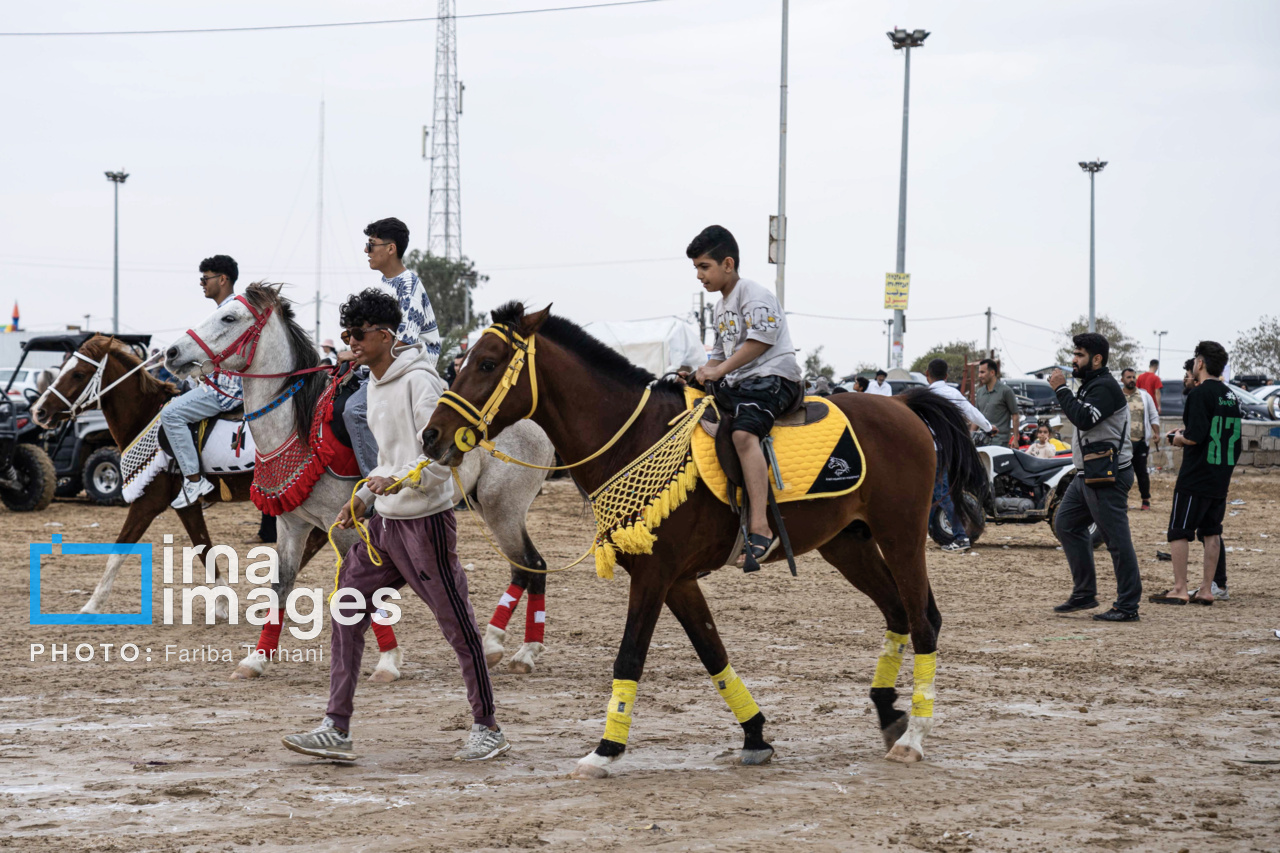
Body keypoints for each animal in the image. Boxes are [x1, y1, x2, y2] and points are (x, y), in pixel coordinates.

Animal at [424, 303, 983, 778]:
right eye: (463, 362)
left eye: (487, 363)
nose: (432, 435)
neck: (639, 437)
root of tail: (903, 406)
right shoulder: (677, 581)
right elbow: (713, 653)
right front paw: (755, 735)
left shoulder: (654, 575)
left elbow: (629, 656)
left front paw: (606, 749)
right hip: (849, 544)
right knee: (897, 613)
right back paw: (889, 711)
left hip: (901, 536)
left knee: (923, 622)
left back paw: (913, 735)